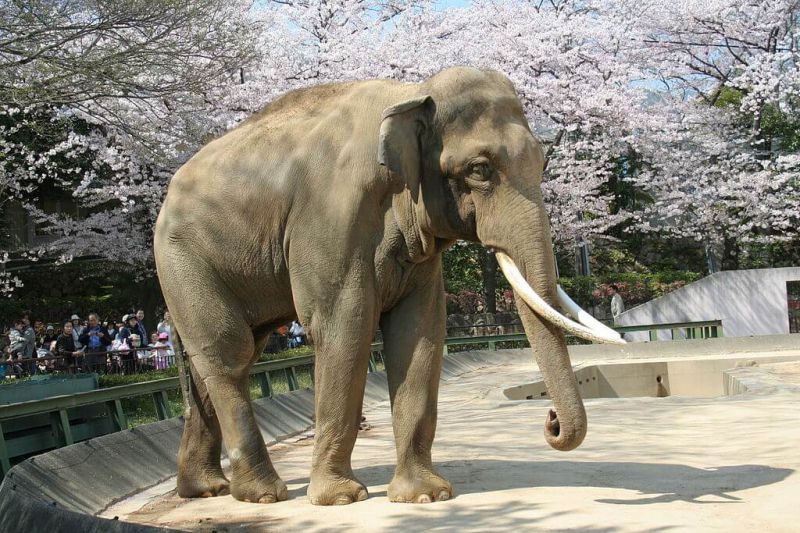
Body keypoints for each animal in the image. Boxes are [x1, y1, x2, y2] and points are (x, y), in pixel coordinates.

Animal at [153, 66, 622, 506]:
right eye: (479, 169)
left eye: (543, 165)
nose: (551, 419)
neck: (412, 94)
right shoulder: (330, 217)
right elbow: (345, 325)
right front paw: (341, 498)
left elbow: (418, 332)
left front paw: (427, 496)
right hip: (183, 257)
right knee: (229, 352)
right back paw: (263, 494)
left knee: (224, 357)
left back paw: (206, 490)